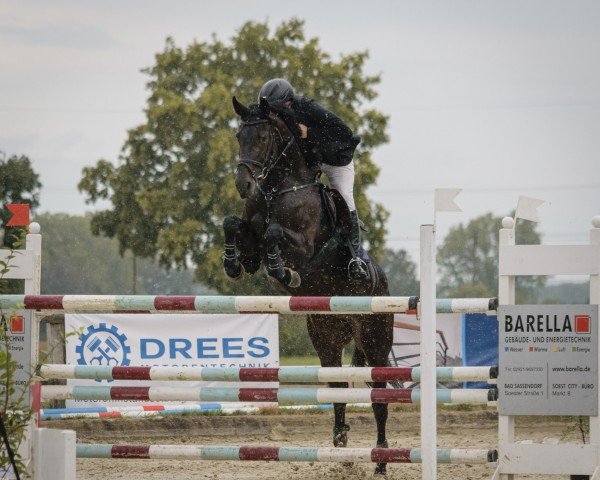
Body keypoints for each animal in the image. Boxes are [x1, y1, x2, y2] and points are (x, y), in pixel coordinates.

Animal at [223, 95, 396, 474]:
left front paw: (284, 273)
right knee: (336, 386)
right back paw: (340, 441)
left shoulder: (304, 246)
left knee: (379, 395)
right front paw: (231, 262)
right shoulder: (250, 237)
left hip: (375, 336)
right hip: (326, 336)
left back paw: (380, 460)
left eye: (262, 138)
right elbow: (232, 225)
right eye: (239, 136)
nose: (244, 185)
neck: (277, 189)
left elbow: (275, 235)